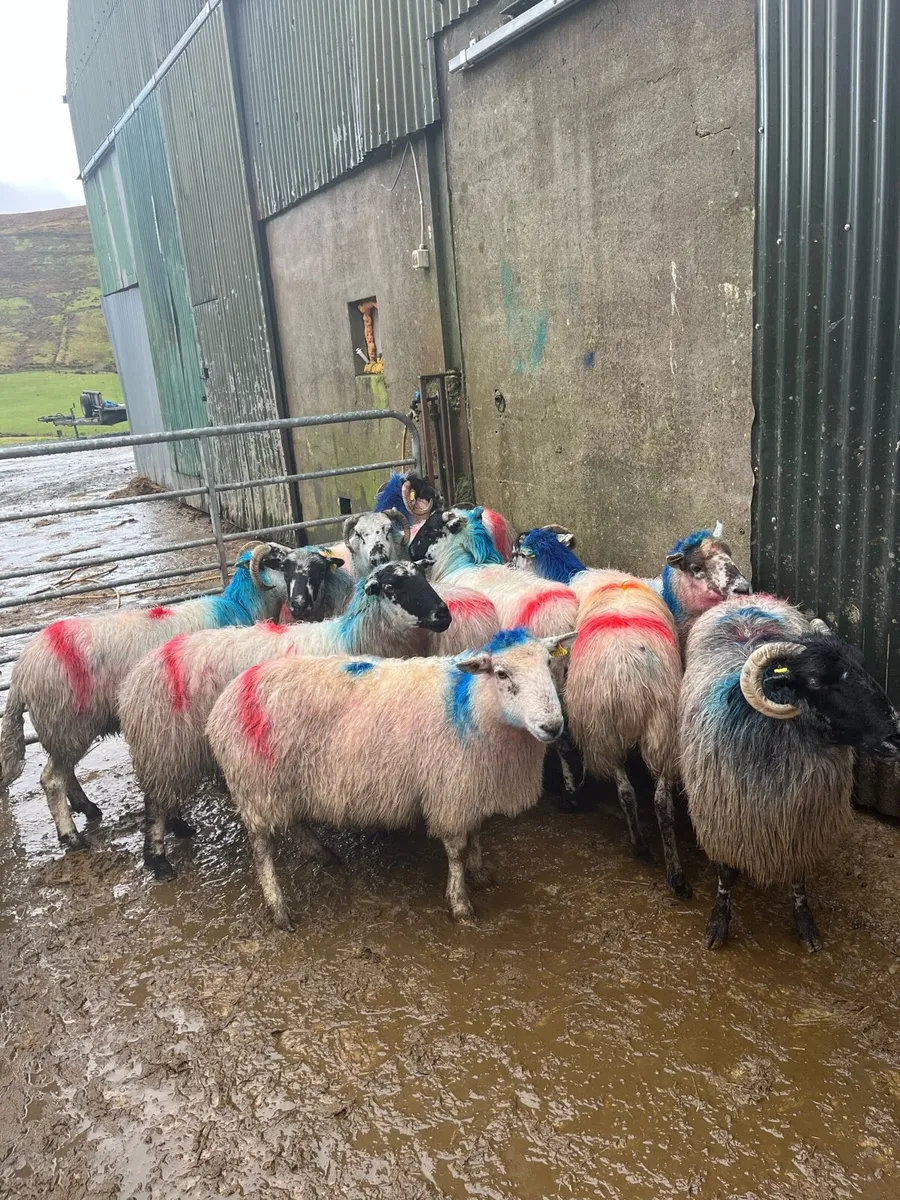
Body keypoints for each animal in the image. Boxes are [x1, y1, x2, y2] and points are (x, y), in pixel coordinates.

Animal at [0, 544, 291, 850]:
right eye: (278, 561)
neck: (240, 606)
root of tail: (20, 671)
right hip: (67, 724)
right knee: (53, 779)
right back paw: (72, 835)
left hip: (63, 729)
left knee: (65, 772)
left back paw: (87, 807)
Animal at [120, 561, 451, 880]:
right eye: (393, 586)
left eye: (422, 574)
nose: (444, 615)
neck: (352, 637)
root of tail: (139, 673)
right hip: (165, 743)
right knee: (154, 801)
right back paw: (158, 860)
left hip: (171, 749)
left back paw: (179, 827)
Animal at [205, 627, 576, 930]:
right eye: (501, 673)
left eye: (548, 663)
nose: (552, 726)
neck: (471, 705)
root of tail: (230, 695)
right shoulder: (451, 789)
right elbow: (457, 849)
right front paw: (460, 903)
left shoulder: (473, 785)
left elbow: (478, 833)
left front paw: (480, 873)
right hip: (255, 785)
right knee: (262, 850)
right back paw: (279, 908)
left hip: (282, 782)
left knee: (294, 822)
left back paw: (321, 852)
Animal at [679, 596, 900, 951]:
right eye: (815, 682)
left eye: (862, 667)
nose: (895, 736)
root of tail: (744, 599)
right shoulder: (722, 822)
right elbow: (725, 876)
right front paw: (718, 923)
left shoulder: (801, 826)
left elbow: (799, 879)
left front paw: (805, 924)